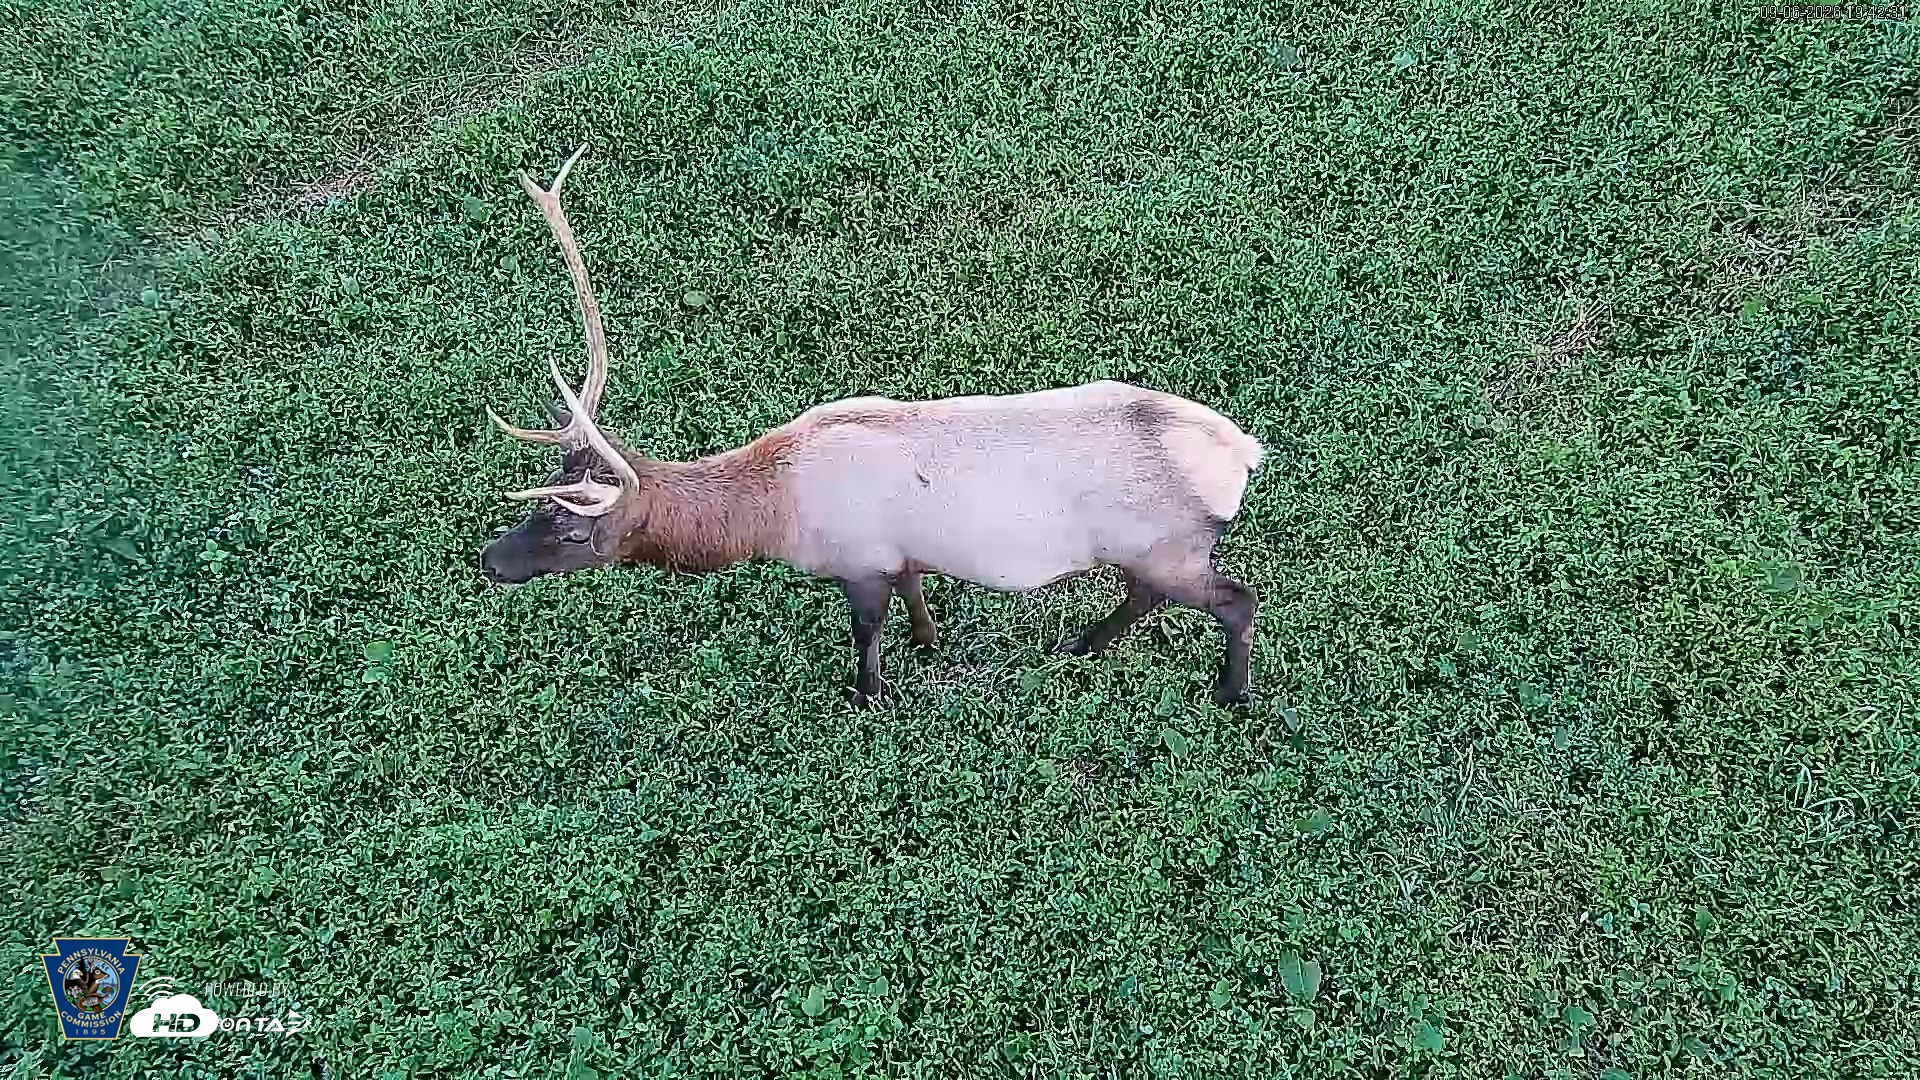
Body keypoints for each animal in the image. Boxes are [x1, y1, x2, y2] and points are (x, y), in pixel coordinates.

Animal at [479, 147, 1265, 706]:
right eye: (543, 492)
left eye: (572, 529)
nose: (490, 561)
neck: (777, 516)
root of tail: (1243, 456)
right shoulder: (899, 553)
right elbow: (916, 599)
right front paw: (927, 643)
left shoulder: (857, 560)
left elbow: (866, 631)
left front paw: (868, 693)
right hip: (1151, 551)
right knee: (1148, 596)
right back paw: (1080, 646)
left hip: (1168, 546)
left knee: (1236, 600)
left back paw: (1228, 692)